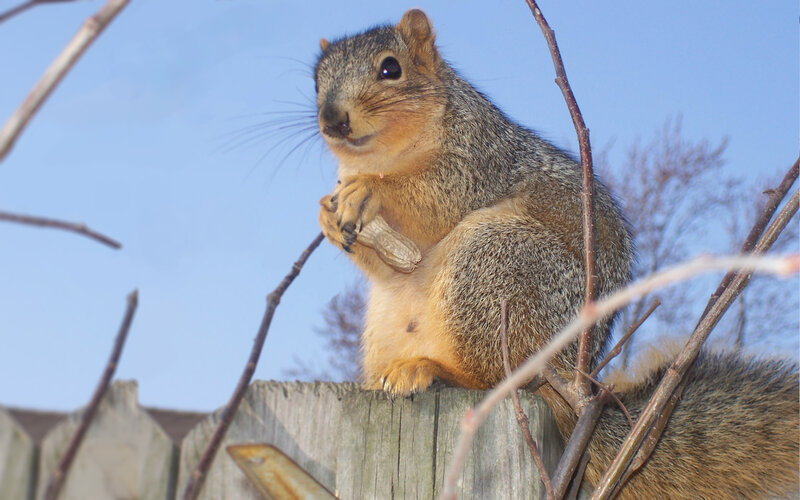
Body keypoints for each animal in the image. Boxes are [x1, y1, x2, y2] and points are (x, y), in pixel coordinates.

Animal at [313, 9, 799, 499]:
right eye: (317, 81)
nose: (332, 118)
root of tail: (572, 381)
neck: (385, 155)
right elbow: (388, 260)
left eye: (390, 69)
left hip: (498, 264)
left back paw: (432, 368)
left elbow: (435, 198)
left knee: (498, 377)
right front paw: (328, 216)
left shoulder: (480, 161)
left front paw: (371, 190)